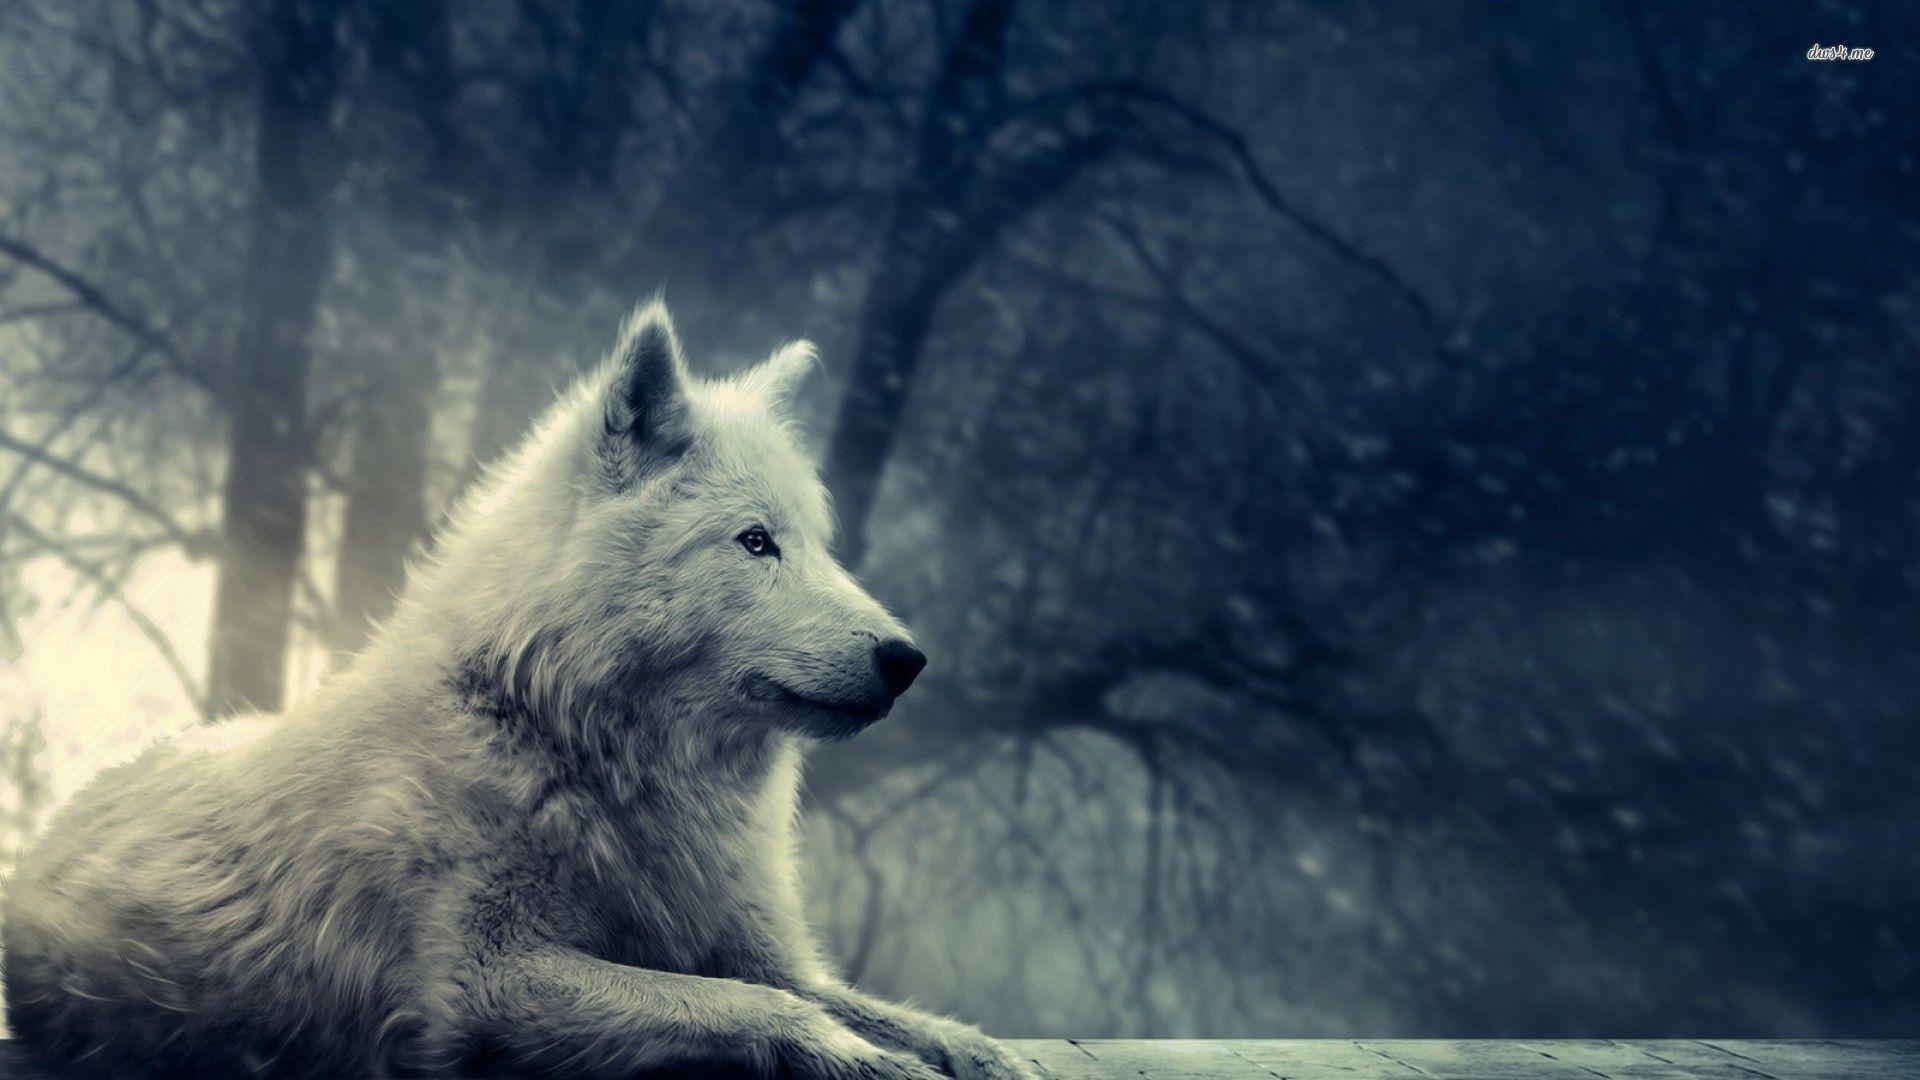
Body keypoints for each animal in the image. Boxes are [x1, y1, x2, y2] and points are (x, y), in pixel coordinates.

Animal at [3, 304, 1035, 1079]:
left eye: (818, 544)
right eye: (755, 542)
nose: (908, 658)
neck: (564, 740)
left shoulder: (760, 947)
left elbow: (875, 1008)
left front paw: (980, 1053)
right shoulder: (484, 982)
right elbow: (754, 1007)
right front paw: (865, 1059)